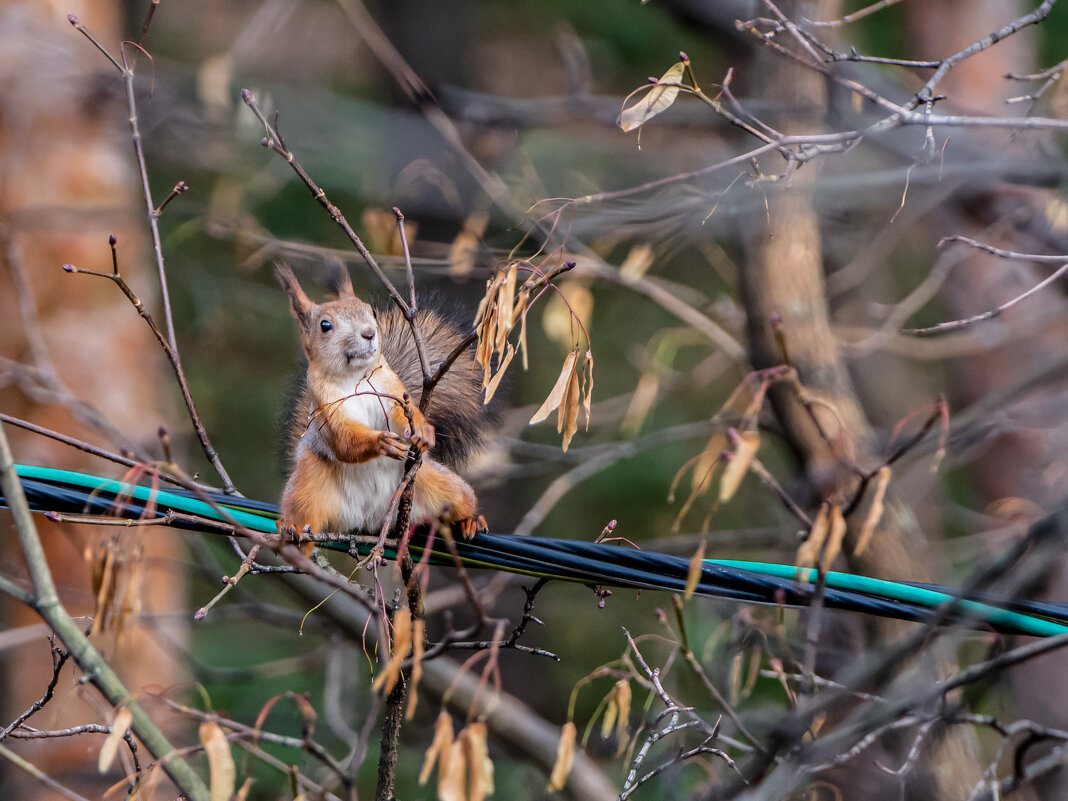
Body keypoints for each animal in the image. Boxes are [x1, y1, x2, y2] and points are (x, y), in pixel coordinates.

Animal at [277, 267, 489, 542]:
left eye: (372, 312)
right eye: (325, 325)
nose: (369, 333)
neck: (355, 377)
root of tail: (370, 521)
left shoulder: (391, 388)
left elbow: (404, 413)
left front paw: (423, 430)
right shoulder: (327, 406)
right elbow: (344, 440)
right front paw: (382, 442)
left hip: (440, 487)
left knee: (461, 499)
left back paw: (471, 520)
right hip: (308, 485)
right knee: (302, 513)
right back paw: (289, 528)